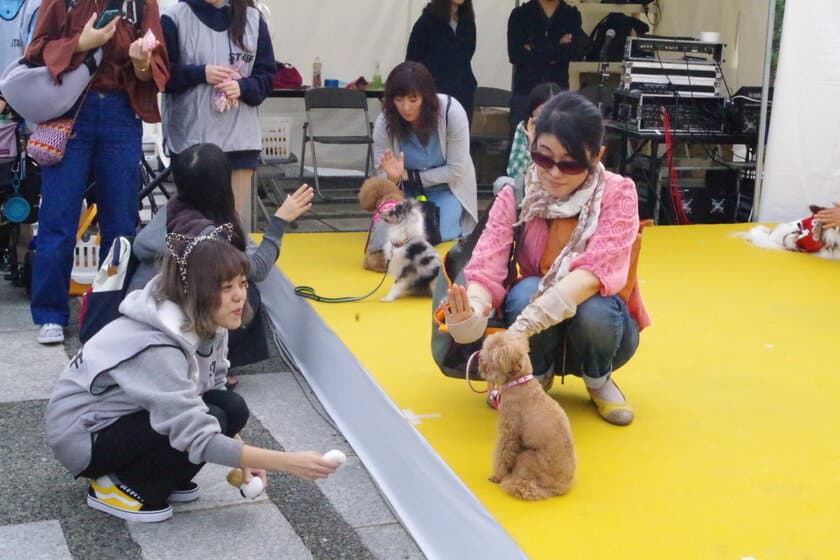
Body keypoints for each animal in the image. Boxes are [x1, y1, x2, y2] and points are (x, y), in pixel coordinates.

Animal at [480, 330, 576, 500]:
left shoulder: (509, 433)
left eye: (492, 355)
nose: (479, 359)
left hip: (527, 457)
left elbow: (502, 455)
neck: (520, 382)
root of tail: (560, 488)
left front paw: (497, 476)